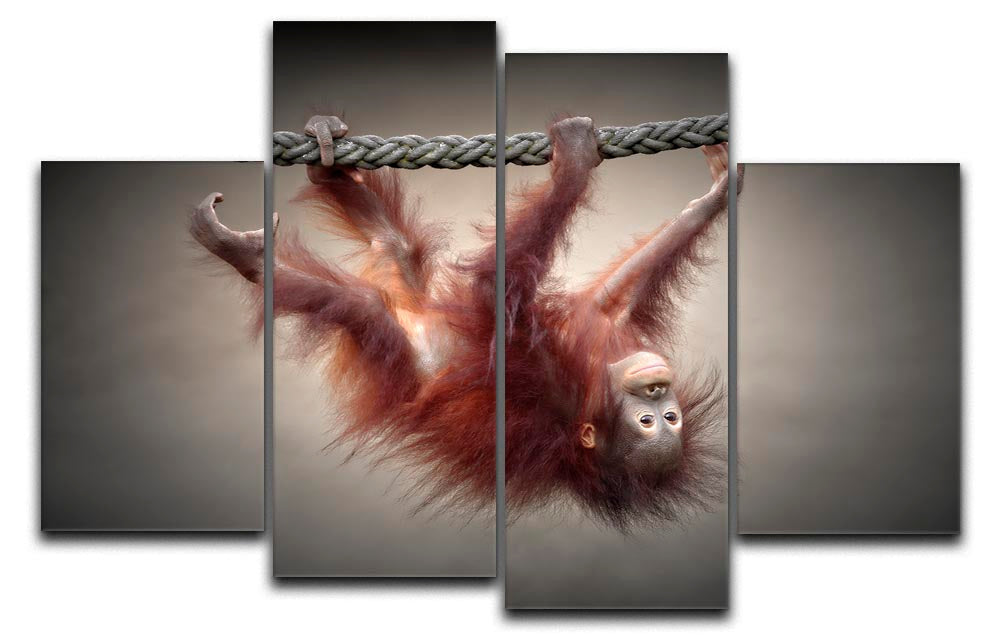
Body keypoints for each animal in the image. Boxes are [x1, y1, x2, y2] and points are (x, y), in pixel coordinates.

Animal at [190, 115, 742, 531]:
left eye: (664, 421)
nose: (658, 390)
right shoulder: (600, 341)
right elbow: (616, 295)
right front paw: (715, 193)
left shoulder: (546, 386)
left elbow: (494, 293)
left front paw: (573, 167)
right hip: (407, 283)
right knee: (395, 245)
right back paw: (326, 160)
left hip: (392, 343)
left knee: (359, 304)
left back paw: (246, 254)